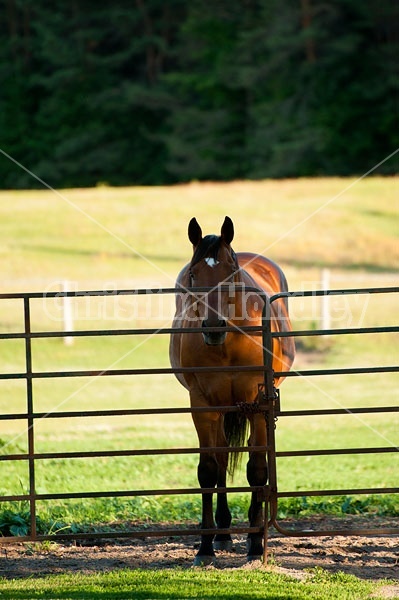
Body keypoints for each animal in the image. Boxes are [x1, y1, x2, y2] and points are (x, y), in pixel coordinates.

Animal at [168, 218, 294, 564]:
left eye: (230, 274)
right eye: (193, 275)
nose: (213, 328)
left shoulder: (259, 403)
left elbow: (258, 469)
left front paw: (255, 544)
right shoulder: (202, 405)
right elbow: (208, 470)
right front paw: (205, 547)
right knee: (222, 456)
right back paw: (222, 533)